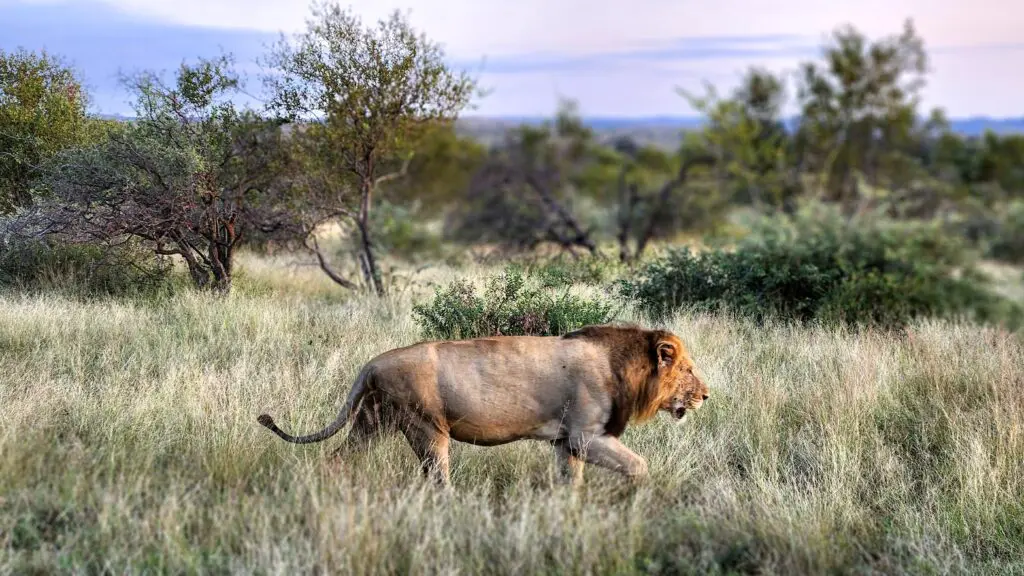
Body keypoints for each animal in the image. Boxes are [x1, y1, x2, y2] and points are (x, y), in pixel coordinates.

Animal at [257, 324, 710, 487]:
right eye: (687, 368)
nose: (706, 395)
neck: (624, 367)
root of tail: (372, 363)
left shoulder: (565, 442)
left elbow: (571, 482)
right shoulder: (586, 435)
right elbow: (638, 465)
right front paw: (636, 500)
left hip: (374, 421)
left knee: (338, 457)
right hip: (427, 428)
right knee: (437, 479)